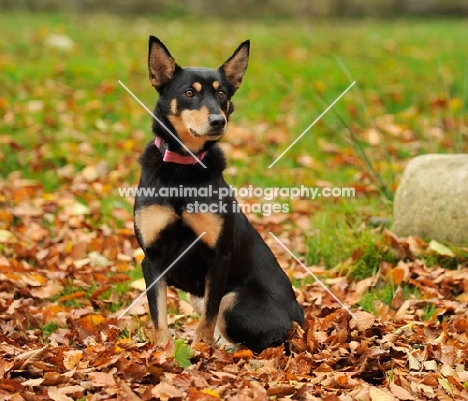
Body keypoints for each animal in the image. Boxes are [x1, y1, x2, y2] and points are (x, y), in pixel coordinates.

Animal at [133, 36, 306, 352]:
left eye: (222, 93)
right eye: (189, 93)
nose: (218, 121)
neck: (182, 171)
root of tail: (301, 320)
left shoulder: (219, 257)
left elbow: (208, 319)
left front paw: (199, 351)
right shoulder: (152, 258)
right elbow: (158, 316)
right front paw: (163, 352)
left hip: (234, 299)